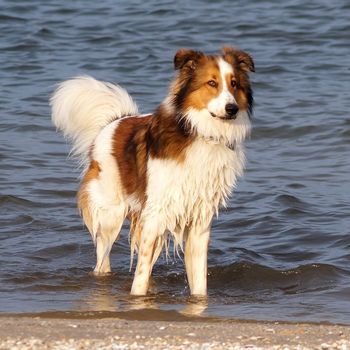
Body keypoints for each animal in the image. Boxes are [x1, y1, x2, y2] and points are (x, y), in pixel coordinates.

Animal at [50, 46, 254, 296]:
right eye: (212, 83)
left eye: (234, 83)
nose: (232, 108)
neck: (200, 133)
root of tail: (114, 121)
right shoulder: (156, 214)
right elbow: (140, 273)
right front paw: (137, 298)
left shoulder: (200, 222)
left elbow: (198, 281)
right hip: (111, 214)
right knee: (102, 259)